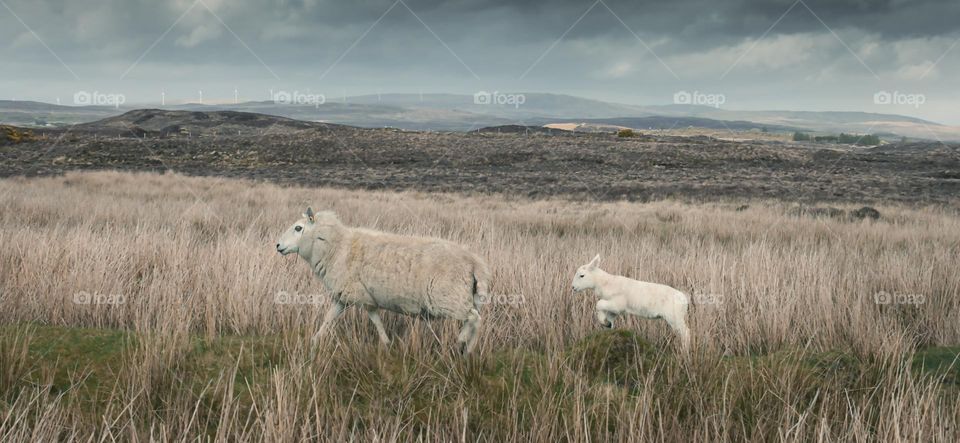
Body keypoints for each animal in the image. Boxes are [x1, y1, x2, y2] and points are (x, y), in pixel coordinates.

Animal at [276, 208, 488, 358]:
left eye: (298, 228)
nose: (278, 245)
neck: (337, 247)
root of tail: (474, 262)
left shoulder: (359, 295)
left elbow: (373, 320)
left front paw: (386, 343)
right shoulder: (349, 297)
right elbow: (332, 319)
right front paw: (314, 342)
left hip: (448, 298)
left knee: (475, 318)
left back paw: (465, 345)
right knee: (473, 318)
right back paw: (465, 347)